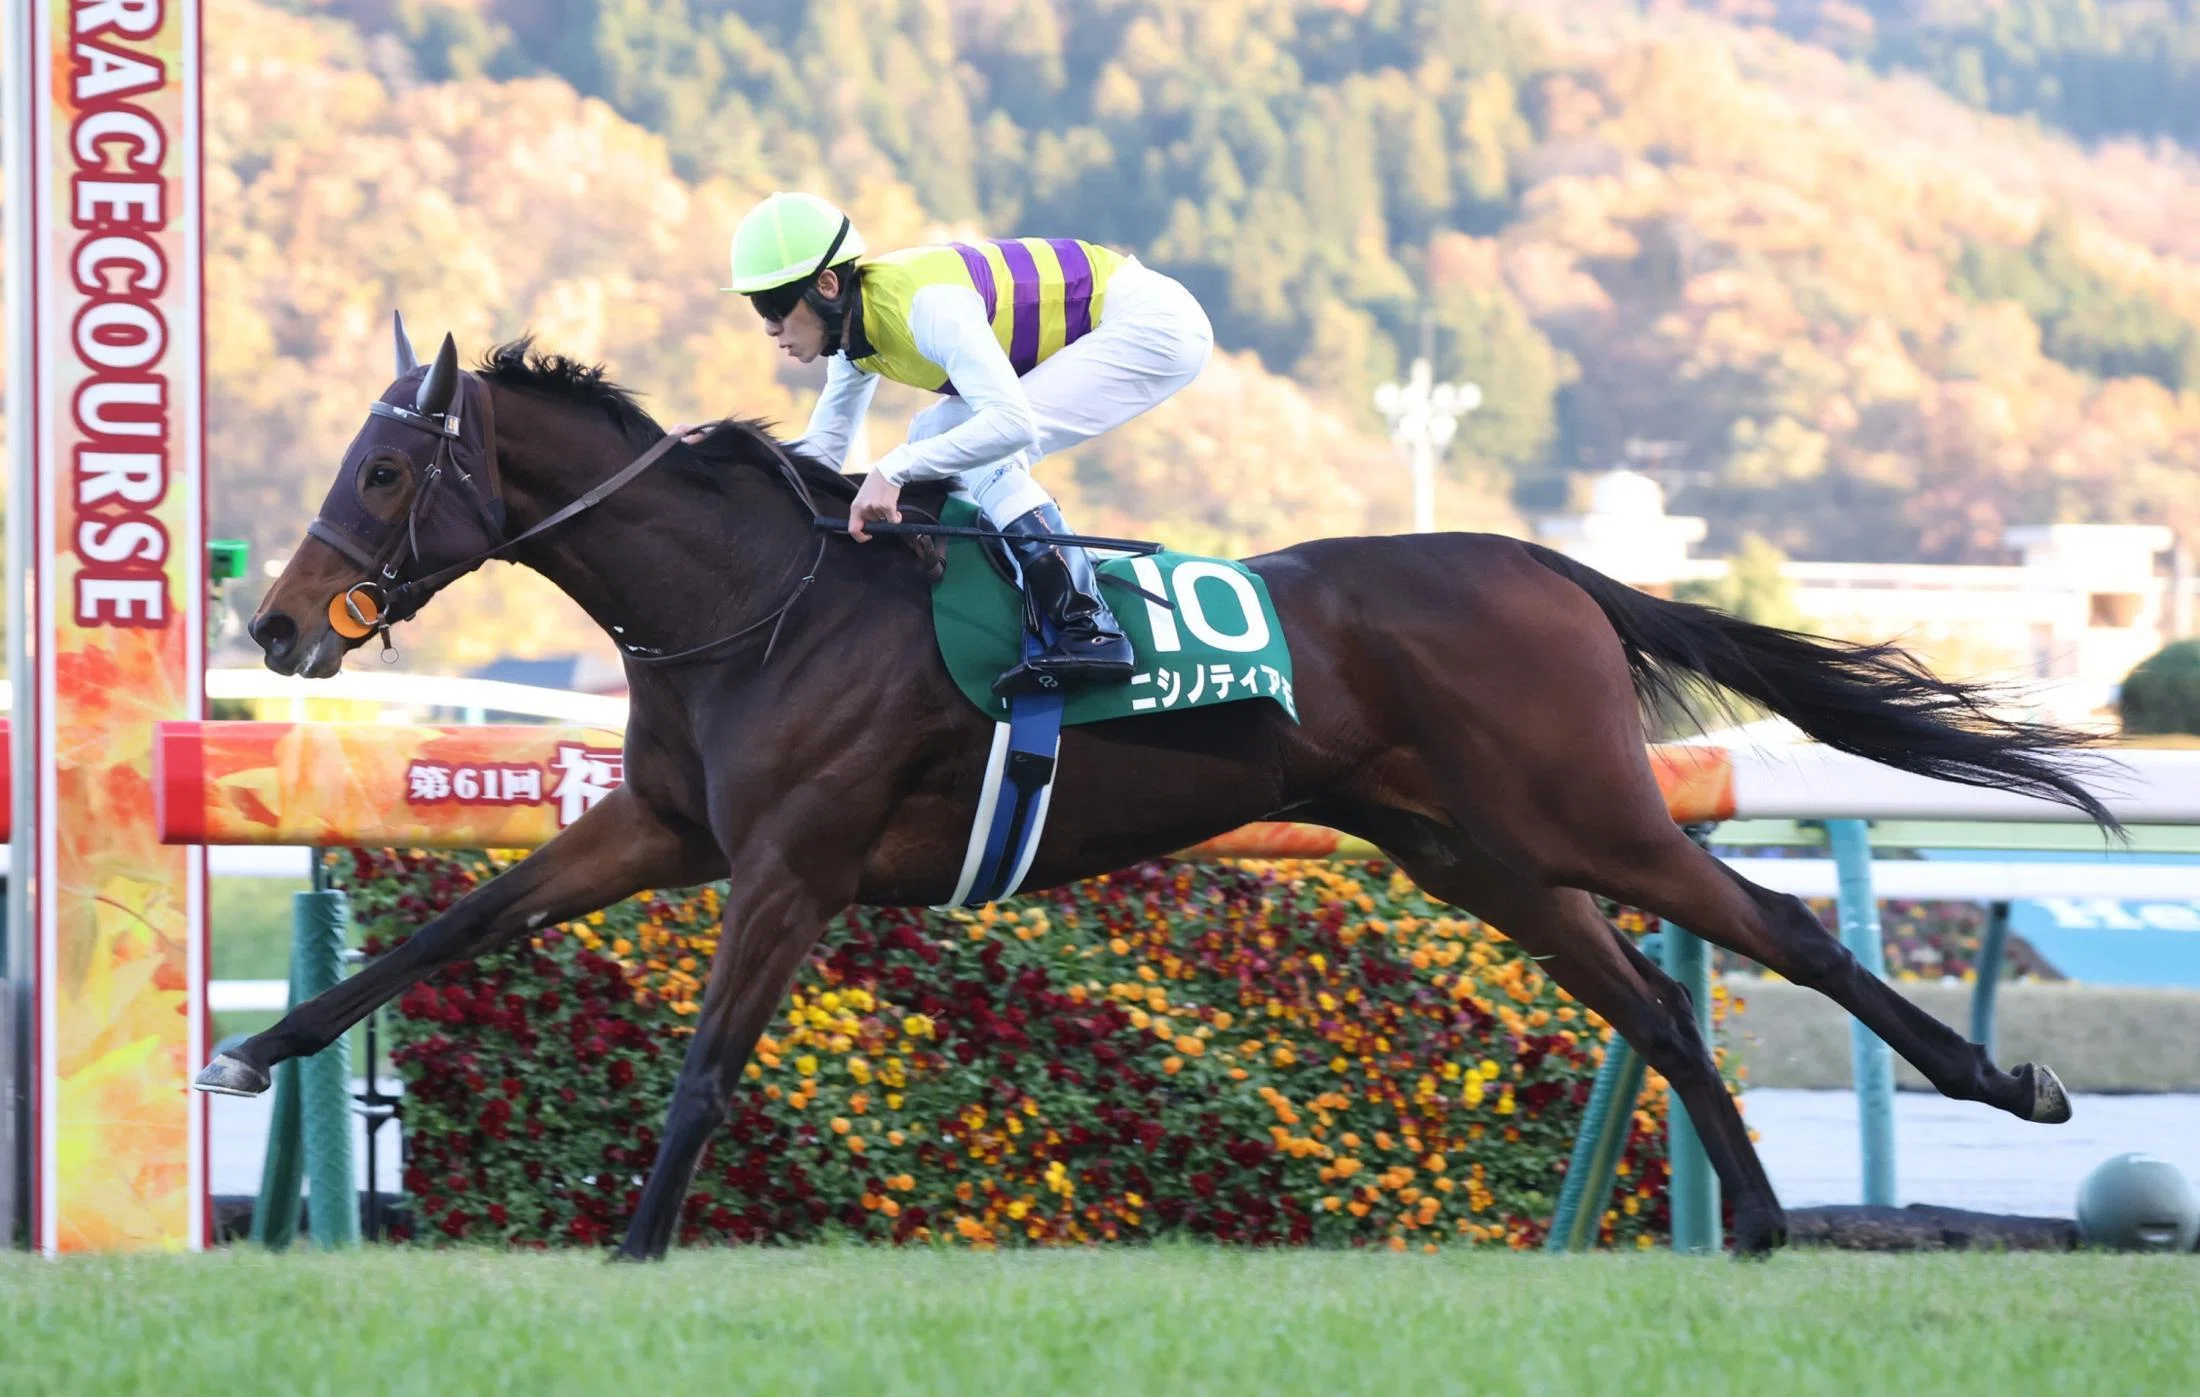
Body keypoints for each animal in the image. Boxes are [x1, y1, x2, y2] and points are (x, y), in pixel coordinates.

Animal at [205, 325, 2115, 1261]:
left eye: (385, 471)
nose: (277, 620)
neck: (754, 601)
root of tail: (1552, 567)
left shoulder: (791, 865)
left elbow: (705, 1062)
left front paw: (639, 1245)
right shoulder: (663, 827)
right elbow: (457, 918)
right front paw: (254, 1049)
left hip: (1586, 812)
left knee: (1777, 926)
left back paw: (1999, 1089)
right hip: (1476, 852)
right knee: (1651, 997)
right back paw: (1767, 1222)